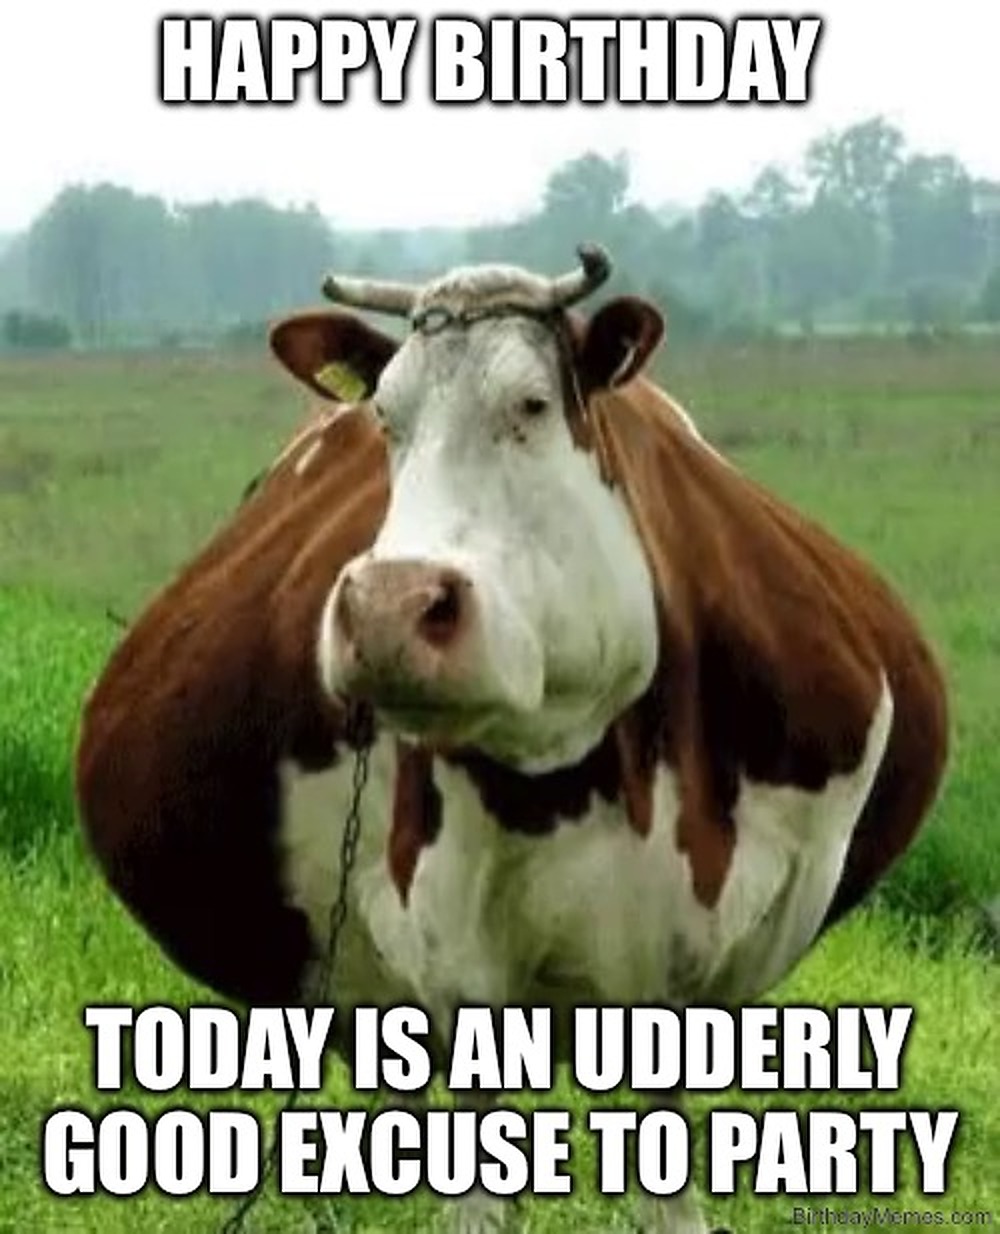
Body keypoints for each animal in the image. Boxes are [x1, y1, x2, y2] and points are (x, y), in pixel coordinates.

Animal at [76, 246, 948, 1233]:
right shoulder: (453, 965)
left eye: (531, 404)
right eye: (386, 418)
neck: (584, 773)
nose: (389, 608)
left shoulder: (690, 968)